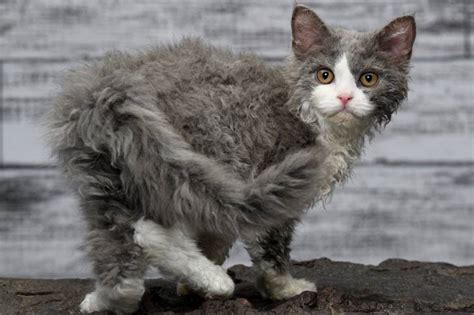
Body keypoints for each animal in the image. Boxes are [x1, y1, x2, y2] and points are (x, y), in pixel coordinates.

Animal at [45, 4, 414, 314]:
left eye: (368, 78)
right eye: (324, 75)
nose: (345, 97)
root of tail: (109, 88)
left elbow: (218, 233)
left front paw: (193, 284)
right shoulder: (275, 177)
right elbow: (269, 247)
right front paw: (284, 288)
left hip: (110, 169)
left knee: (119, 235)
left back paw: (108, 300)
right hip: (202, 152)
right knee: (150, 229)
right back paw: (215, 280)